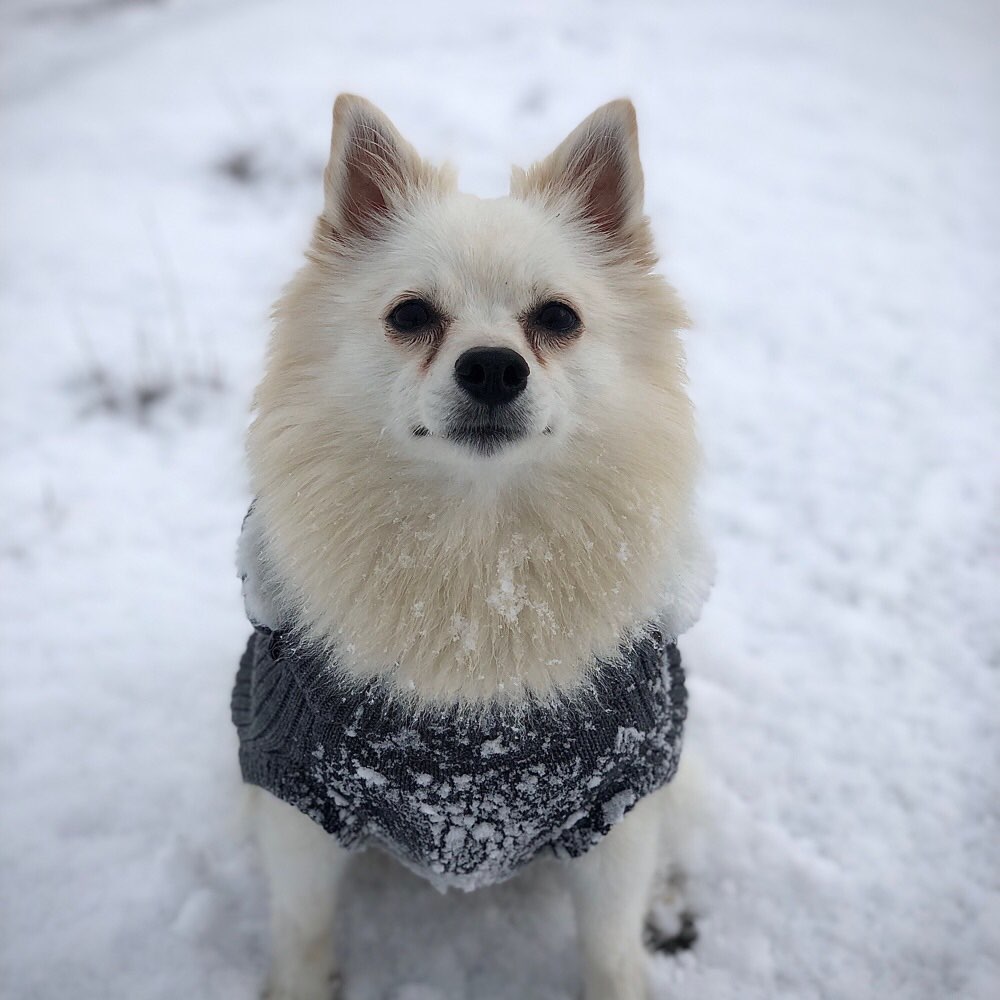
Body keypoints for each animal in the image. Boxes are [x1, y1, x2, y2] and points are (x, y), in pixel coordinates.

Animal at [233, 94, 712, 1000]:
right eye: (410, 316)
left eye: (558, 318)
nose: (493, 368)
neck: (478, 563)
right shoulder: (296, 796)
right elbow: (302, 928)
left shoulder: (618, 801)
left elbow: (609, 946)